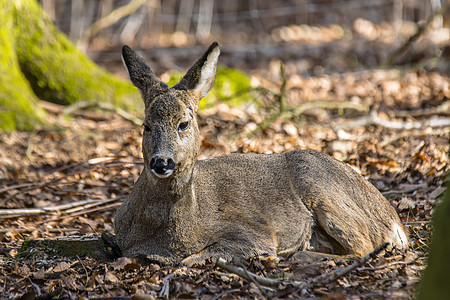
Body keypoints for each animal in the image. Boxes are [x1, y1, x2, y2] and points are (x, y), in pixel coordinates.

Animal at [115, 41, 408, 264]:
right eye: (146, 125)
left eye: (184, 123)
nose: (161, 162)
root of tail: (394, 219)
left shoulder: (253, 233)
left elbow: (193, 259)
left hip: (323, 190)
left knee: (364, 247)